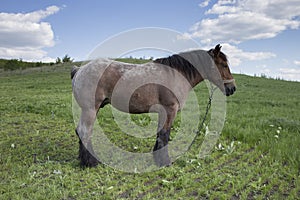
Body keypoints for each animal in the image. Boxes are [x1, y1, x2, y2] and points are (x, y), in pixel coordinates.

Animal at [71, 44, 236, 167]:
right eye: (223, 65)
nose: (232, 88)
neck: (176, 75)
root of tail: (79, 70)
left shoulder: (163, 113)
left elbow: (160, 135)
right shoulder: (170, 110)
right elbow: (165, 135)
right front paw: (165, 162)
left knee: (81, 131)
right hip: (90, 110)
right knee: (85, 132)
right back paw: (91, 162)